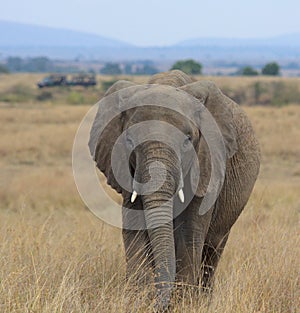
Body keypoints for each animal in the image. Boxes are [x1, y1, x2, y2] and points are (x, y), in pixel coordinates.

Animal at [87, 69, 260, 310]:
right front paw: (138, 300)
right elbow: (135, 226)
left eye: (188, 140)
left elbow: (189, 231)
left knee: (213, 249)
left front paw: (184, 303)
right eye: (129, 140)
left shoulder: (207, 163)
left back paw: (204, 299)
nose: (161, 305)